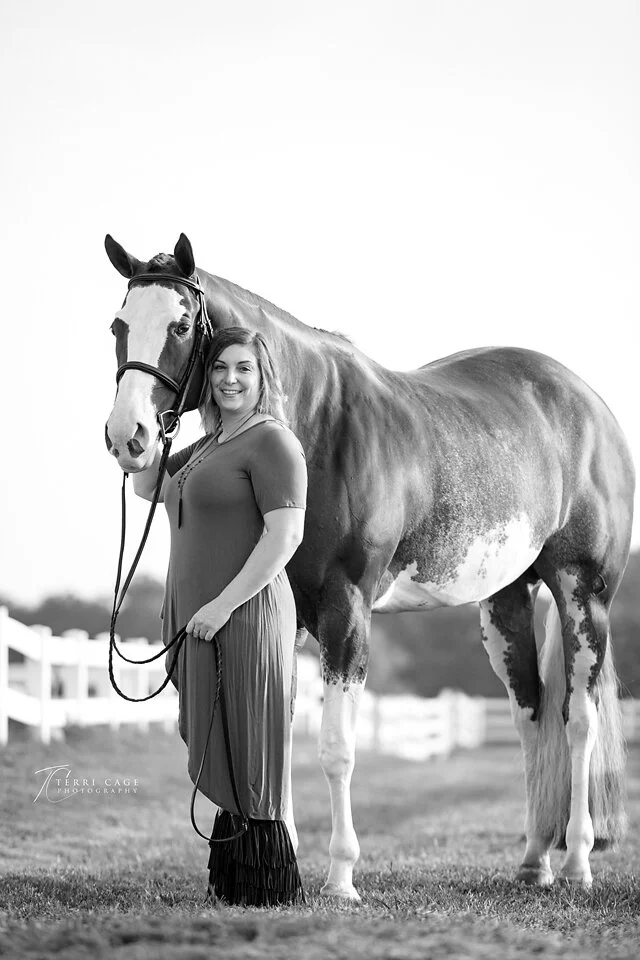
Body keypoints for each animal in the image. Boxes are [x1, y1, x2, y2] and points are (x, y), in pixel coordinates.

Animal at [104, 233, 635, 896]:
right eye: (119, 324)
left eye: (179, 325)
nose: (129, 438)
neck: (316, 426)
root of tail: (589, 404)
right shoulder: (286, 614)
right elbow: (278, 734)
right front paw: (284, 866)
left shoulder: (346, 607)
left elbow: (337, 749)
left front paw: (340, 876)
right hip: (506, 602)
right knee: (532, 716)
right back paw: (535, 859)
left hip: (582, 594)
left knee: (578, 720)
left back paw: (578, 861)